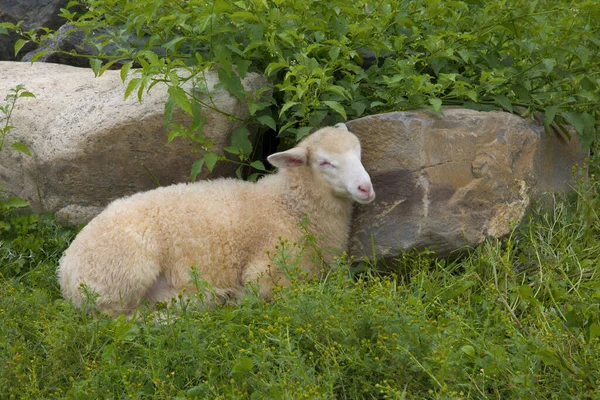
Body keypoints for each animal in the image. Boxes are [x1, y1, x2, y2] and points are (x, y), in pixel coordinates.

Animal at [57, 123, 376, 318]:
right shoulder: (267, 269)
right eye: (324, 162)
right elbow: (272, 292)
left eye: (359, 153)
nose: (366, 188)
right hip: (125, 273)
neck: (289, 206)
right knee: (120, 319)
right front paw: (243, 297)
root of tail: (65, 272)